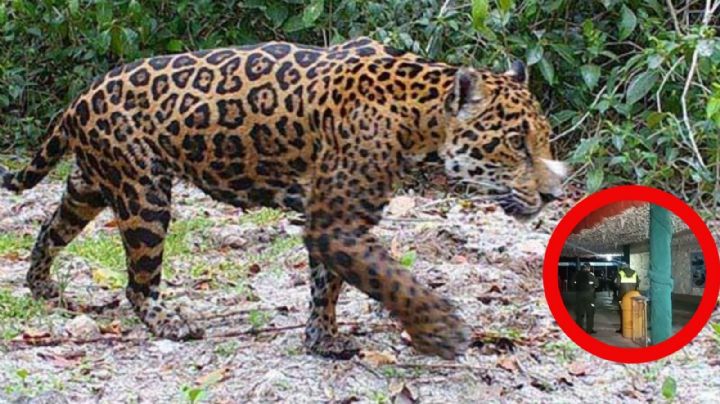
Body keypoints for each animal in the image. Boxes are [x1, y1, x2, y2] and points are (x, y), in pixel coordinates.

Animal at [0, 37, 566, 360]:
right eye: (516, 143)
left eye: (541, 139)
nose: (553, 192)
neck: (418, 116)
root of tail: (81, 95)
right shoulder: (335, 222)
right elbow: (390, 278)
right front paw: (438, 331)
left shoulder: (331, 218)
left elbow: (327, 283)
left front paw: (322, 339)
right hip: (143, 193)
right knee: (138, 284)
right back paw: (171, 323)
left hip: (93, 182)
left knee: (51, 226)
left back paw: (41, 285)